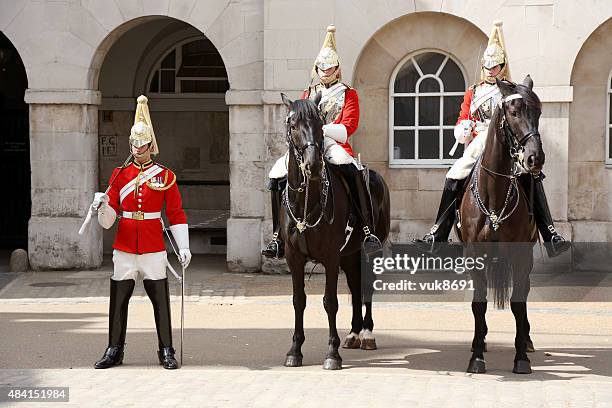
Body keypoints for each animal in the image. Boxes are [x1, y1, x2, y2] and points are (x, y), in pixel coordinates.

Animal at [280, 92, 390, 370]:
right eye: (293, 125)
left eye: (321, 125)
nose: (313, 166)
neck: (307, 200)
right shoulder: (294, 257)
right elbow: (299, 301)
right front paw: (295, 350)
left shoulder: (330, 257)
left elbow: (330, 302)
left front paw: (332, 353)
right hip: (349, 255)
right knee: (355, 285)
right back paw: (353, 333)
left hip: (369, 252)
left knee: (366, 288)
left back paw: (367, 334)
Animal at [462, 75, 544, 374]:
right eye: (513, 112)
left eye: (539, 112)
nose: (535, 158)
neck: (495, 195)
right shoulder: (474, 255)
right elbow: (479, 304)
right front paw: (476, 356)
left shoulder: (521, 256)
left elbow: (518, 304)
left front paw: (521, 357)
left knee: (525, 293)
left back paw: (527, 340)